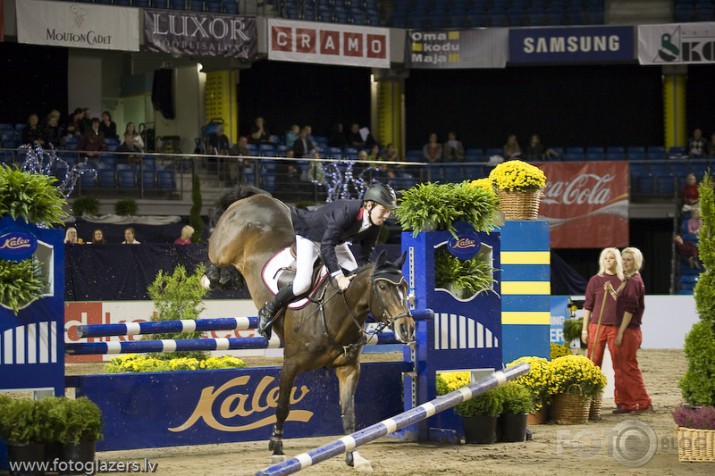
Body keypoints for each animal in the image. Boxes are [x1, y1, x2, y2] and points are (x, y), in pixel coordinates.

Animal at [204, 186, 416, 468]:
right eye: (382, 287)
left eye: (405, 286)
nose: (407, 328)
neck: (335, 313)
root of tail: (254, 197)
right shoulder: (291, 364)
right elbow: (282, 405)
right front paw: (277, 448)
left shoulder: (348, 368)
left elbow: (349, 413)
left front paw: (354, 455)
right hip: (224, 246)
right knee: (214, 258)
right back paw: (216, 278)